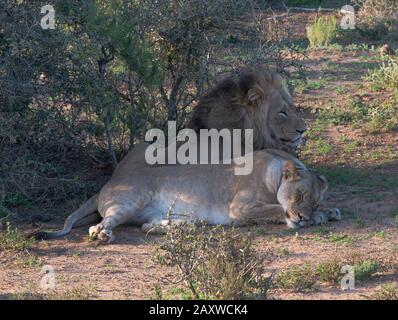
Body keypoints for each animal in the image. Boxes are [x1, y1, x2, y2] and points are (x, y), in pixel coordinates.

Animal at [37, 149, 340, 242]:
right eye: (299, 194)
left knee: (147, 226)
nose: (303, 218)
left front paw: (328, 213)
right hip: (128, 201)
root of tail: (109, 182)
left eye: (313, 200)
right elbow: (277, 210)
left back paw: (179, 227)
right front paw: (307, 219)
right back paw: (103, 234)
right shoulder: (239, 210)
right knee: (98, 225)